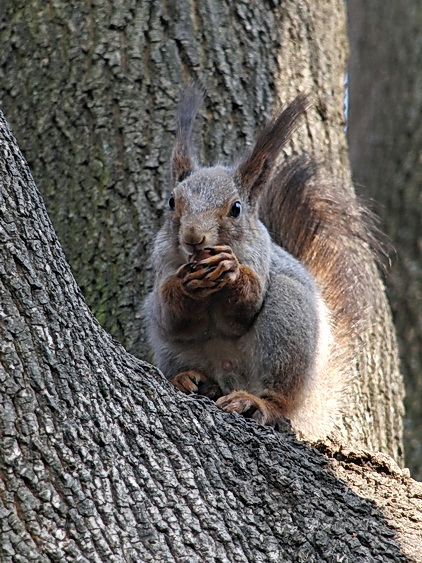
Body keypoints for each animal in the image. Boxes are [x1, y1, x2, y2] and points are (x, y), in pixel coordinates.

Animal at [144, 83, 376, 440]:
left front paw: (232, 272)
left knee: (280, 399)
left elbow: (245, 307)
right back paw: (191, 380)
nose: (193, 238)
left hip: (288, 329)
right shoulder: (163, 266)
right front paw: (185, 286)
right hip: (171, 348)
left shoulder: (262, 259)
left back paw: (257, 403)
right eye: (172, 202)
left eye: (236, 208)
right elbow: (173, 315)